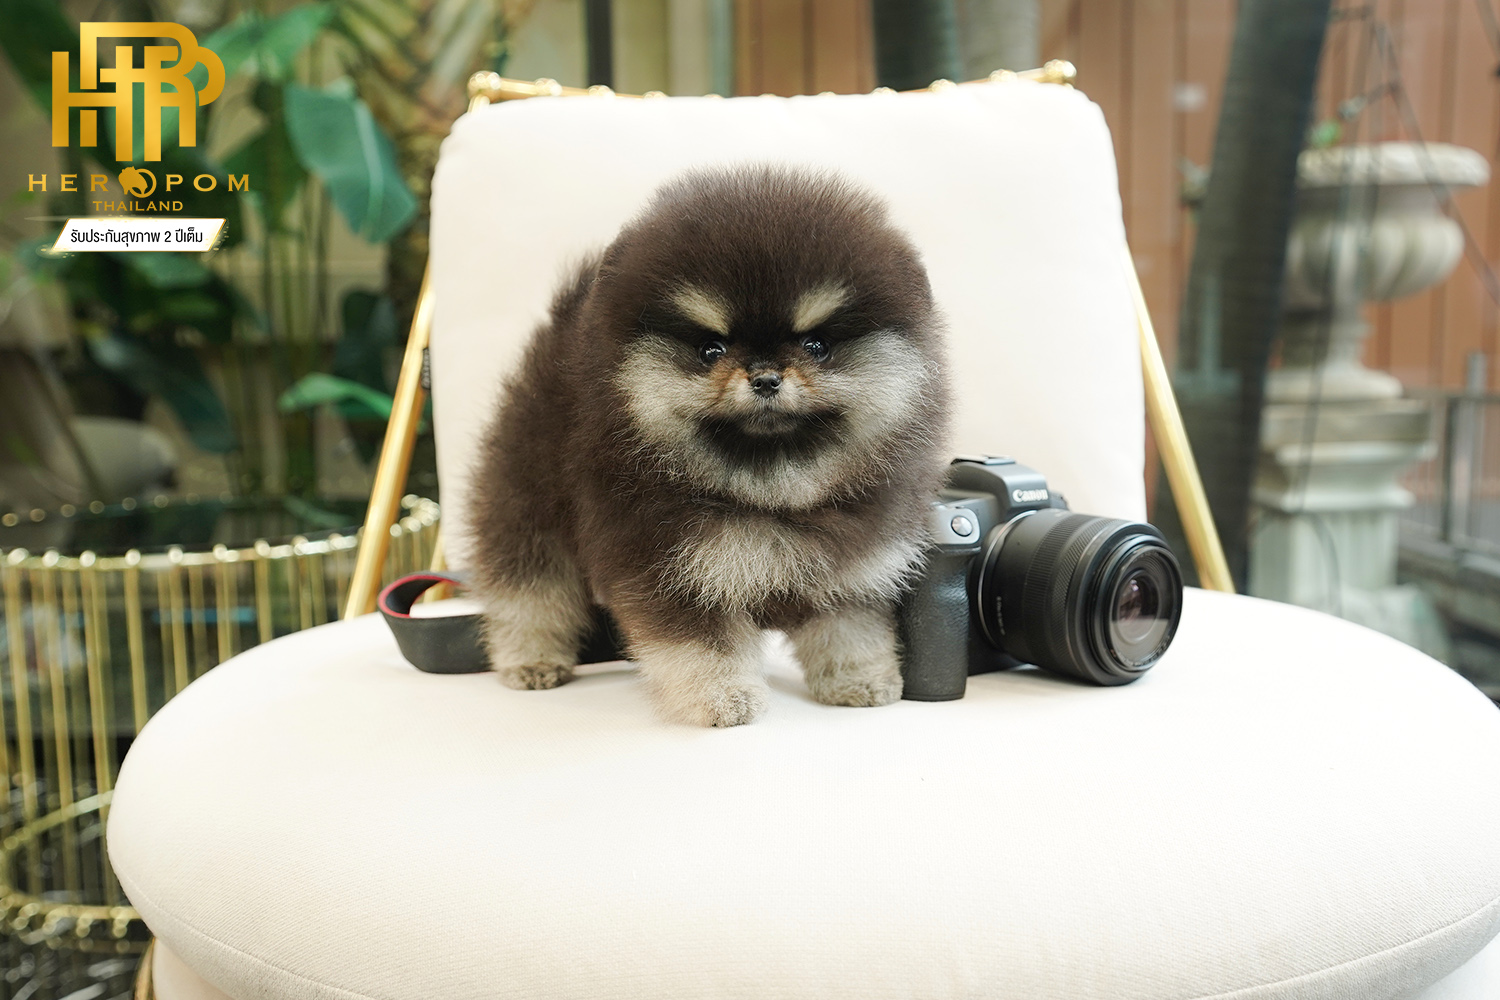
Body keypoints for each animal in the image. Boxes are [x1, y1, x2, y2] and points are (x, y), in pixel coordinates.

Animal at [464, 166, 951, 726]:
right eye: (710, 349)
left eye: (817, 346)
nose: (765, 377)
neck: (768, 493)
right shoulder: (674, 567)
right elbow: (701, 646)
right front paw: (724, 698)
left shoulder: (852, 559)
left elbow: (850, 627)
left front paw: (860, 679)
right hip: (529, 495)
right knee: (530, 584)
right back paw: (532, 660)